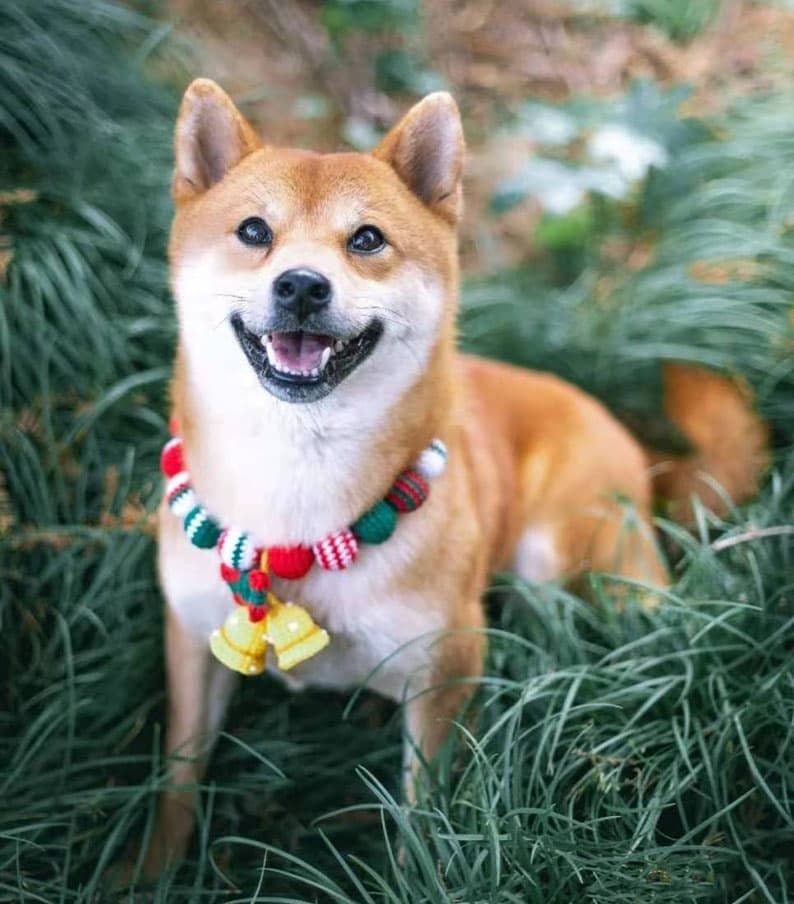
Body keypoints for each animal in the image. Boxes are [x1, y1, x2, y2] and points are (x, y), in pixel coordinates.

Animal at [127, 79, 764, 876]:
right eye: (252, 231)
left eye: (366, 239)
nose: (301, 286)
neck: (297, 492)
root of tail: (631, 440)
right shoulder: (192, 640)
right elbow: (178, 779)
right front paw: (146, 871)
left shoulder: (445, 663)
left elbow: (423, 812)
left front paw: (415, 877)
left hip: (574, 565)